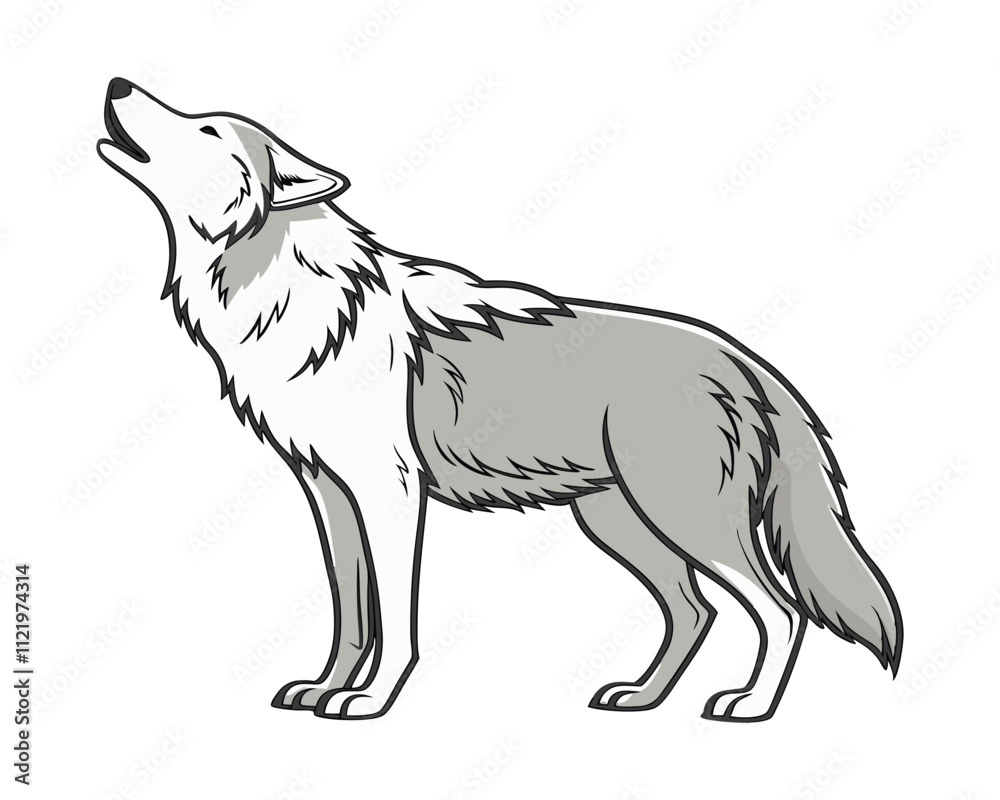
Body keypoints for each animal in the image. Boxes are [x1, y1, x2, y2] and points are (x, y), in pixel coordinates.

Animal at [98, 77, 902, 722]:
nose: (115, 82)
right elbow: (351, 612)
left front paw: (369, 700)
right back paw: (641, 697)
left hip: (682, 520)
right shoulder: (329, 493)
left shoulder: (392, 495)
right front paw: (325, 687)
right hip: (619, 524)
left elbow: (398, 617)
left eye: (206, 128)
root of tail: (742, 357)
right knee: (694, 611)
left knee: (780, 609)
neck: (281, 296)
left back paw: (750, 706)